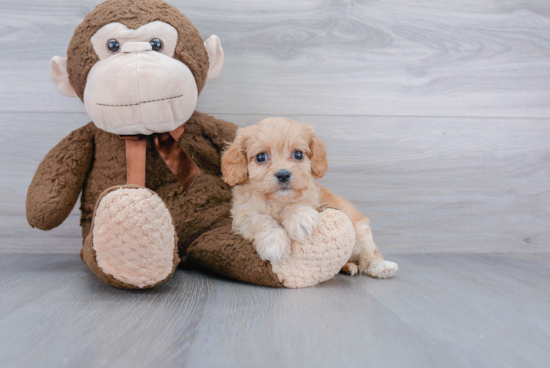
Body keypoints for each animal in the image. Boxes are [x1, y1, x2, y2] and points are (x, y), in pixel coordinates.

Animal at [222, 118, 398, 278]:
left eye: (298, 154)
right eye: (260, 157)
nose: (283, 174)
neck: (278, 201)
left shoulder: (314, 197)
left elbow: (300, 201)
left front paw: (299, 220)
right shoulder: (241, 215)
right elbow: (259, 219)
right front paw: (274, 240)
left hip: (360, 230)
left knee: (369, 253)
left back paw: (382, 267)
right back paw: (348, 267)